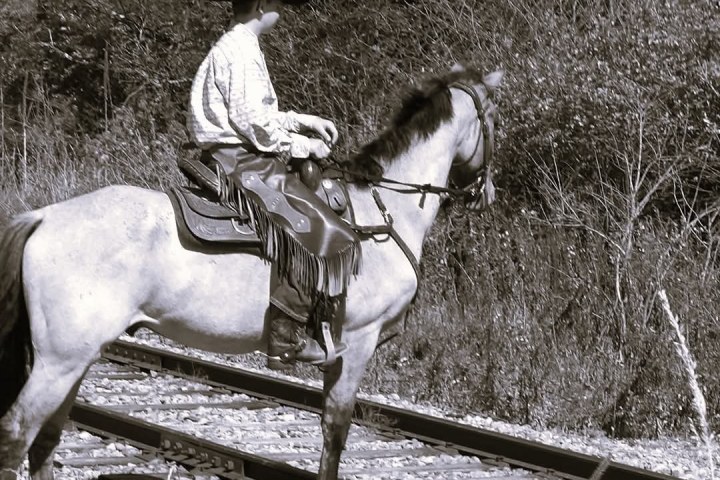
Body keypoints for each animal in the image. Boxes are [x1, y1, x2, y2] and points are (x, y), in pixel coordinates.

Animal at [0, 67, 502, 480]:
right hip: (61, 359)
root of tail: (41, 217)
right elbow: (335, 433)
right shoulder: (357, 343)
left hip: (78, 357)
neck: (382, 215)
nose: (488, 193)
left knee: (45, 441)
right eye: (494, 118)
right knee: (17, 434)